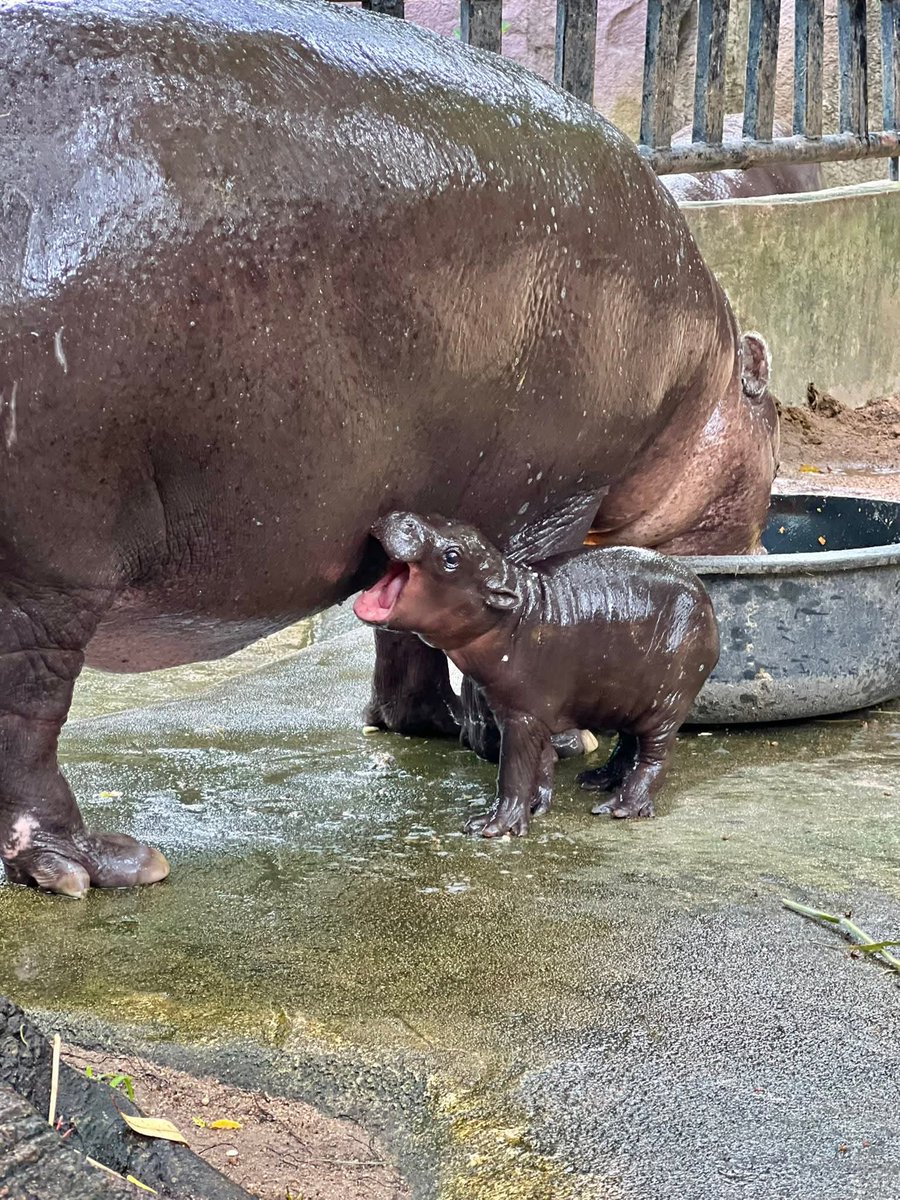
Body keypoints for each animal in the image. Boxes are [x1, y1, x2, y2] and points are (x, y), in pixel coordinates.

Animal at [354, 513, 719, 836]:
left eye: (452, 556)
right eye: (441, 515)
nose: (403, 516)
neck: (511, 614)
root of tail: (707, 602)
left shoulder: (523, 715)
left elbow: (513, 771)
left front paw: (491, 826)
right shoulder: (528, 712)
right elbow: (541, 761)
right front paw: (535, 806)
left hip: (667, 701)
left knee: (654, 756)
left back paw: (621, 807)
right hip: (628, 697)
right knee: (629, 742)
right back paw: (595, 780)